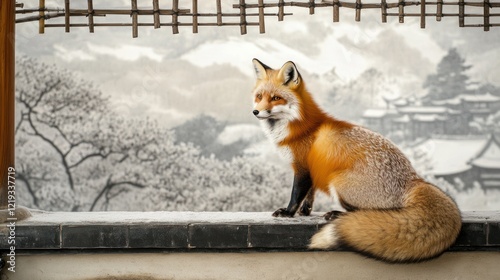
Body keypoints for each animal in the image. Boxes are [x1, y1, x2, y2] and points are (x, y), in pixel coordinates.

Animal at [252, 58, 462, 262]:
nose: (255, 112)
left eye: (276, 98)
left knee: (365, 212)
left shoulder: (302, 168)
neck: (301, 126)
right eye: (259, 97)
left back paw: (337, 214)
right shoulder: (312, 169)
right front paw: (306, 211)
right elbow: (309, 194)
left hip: (338, 182)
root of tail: (414, 180)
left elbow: (296, 195)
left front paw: (288, 213)